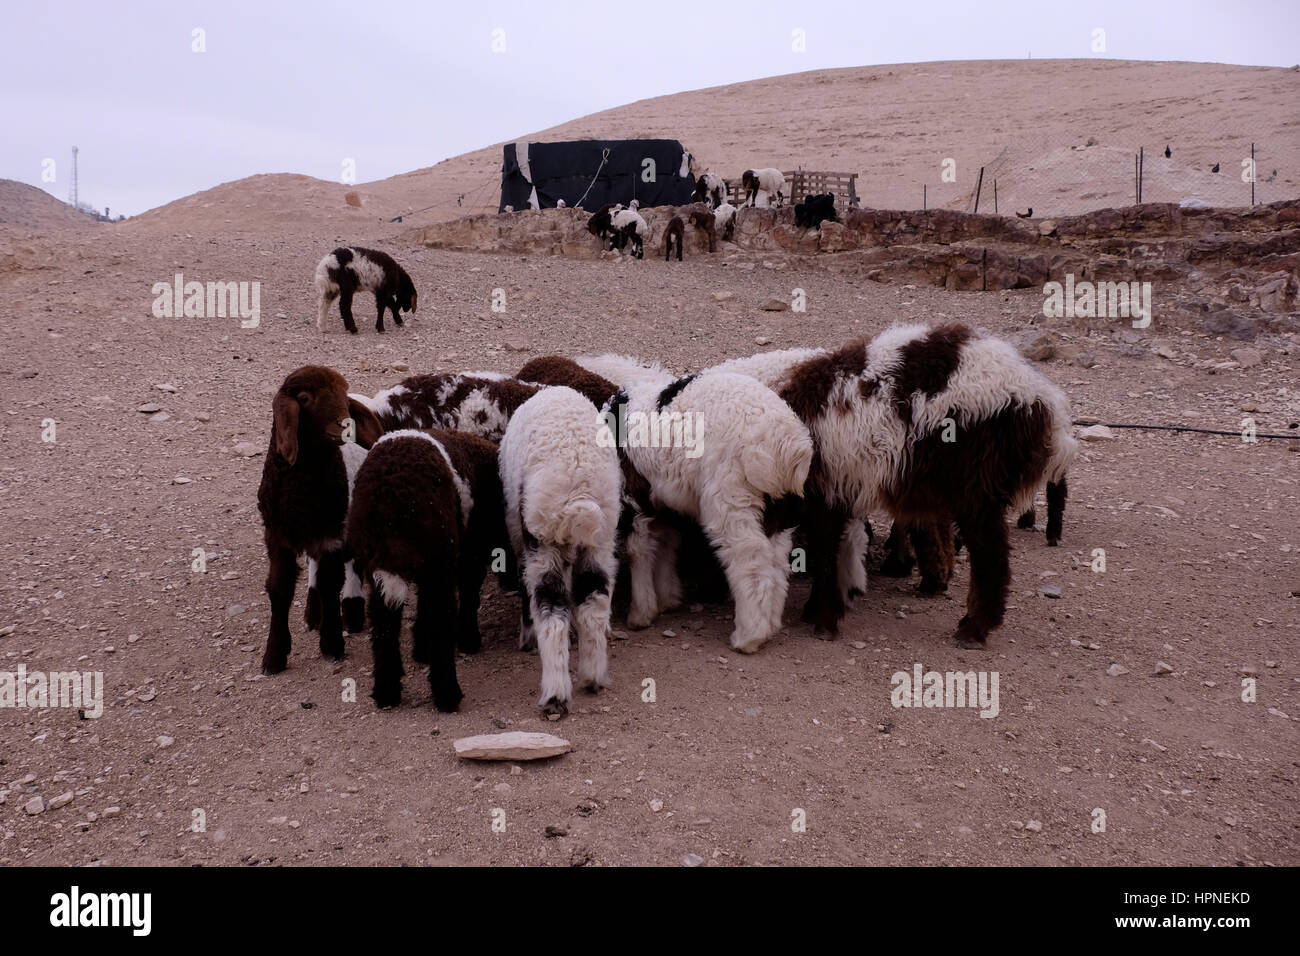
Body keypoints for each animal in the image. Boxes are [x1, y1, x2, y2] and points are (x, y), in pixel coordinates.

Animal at [256, 364, 382, 671]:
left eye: (343, 395)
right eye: (304, 398)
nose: (347, 426)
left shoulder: (332, 535)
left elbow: (330, 585)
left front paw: (332, 643)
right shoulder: (277, 537)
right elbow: (279, 588)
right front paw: (274, 656)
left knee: (350, 566)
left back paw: (352, 610)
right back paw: (313, 611)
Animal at [343, 426, 504, 712]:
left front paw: (420, 649)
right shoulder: (466, 553)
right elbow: (467, 594)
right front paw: (468, 640)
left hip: (381, 563)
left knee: (383, 622)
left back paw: (387, 692)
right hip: (438, 554)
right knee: (441, 617)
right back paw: (448, 695)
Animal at [493, 385, 621, 712]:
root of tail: (579, 489)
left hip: (541, 535)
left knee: (550, 609)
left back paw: (555, 693)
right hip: (600, 539)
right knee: (594, 601)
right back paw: (592, 676)